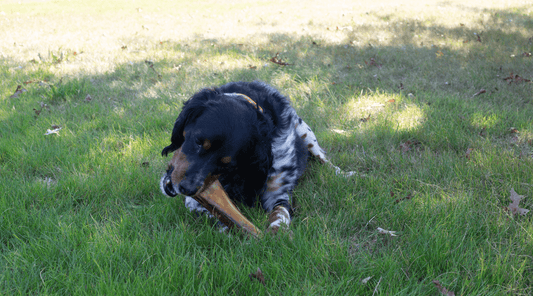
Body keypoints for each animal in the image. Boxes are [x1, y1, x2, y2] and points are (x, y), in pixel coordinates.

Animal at [161, 81, 354, 234]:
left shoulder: (278, 194)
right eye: (198, 141)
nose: (187, 188)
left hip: (305, 132)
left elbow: (280, 214)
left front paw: (275, 234)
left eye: (226, 164)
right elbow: (217, 215)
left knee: (324, 160)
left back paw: (345, 174)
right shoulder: (196, 200)